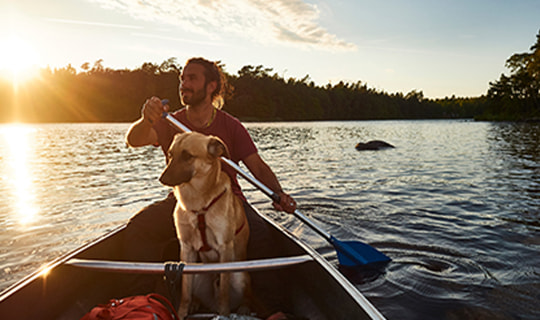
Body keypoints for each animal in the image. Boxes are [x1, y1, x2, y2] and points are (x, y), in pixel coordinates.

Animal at [159, 132, 252, 318]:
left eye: (187, 156)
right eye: (170, 154)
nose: (162, 179)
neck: (198, 205)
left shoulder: (225, 247)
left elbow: (224, 292)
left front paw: (224, 314)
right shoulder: (186, 249)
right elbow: (185, 293)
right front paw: (181, 313)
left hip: (240, 275)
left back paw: (244, 307)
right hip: (195, 270)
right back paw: (195, 304)